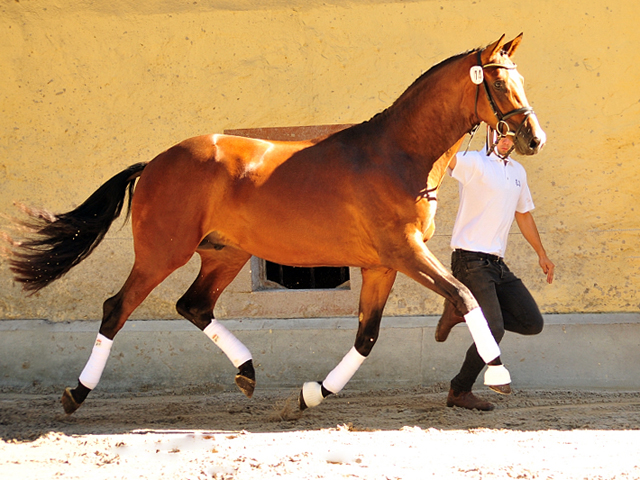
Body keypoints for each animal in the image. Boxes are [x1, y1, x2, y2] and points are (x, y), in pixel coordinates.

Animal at [5, 33, 544, 414]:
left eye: (521, 80)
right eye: (500, 83)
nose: (533, 138)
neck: (398, 153)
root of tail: (155, 162)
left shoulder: (382, 265)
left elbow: (366, 337)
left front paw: (309, 395)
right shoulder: (406, 252)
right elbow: (465, 295)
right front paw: (498, 376)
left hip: (225, 253)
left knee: (193, 305)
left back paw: (246, 371)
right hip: (162, 253)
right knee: (117, 308)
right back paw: (76, 393)